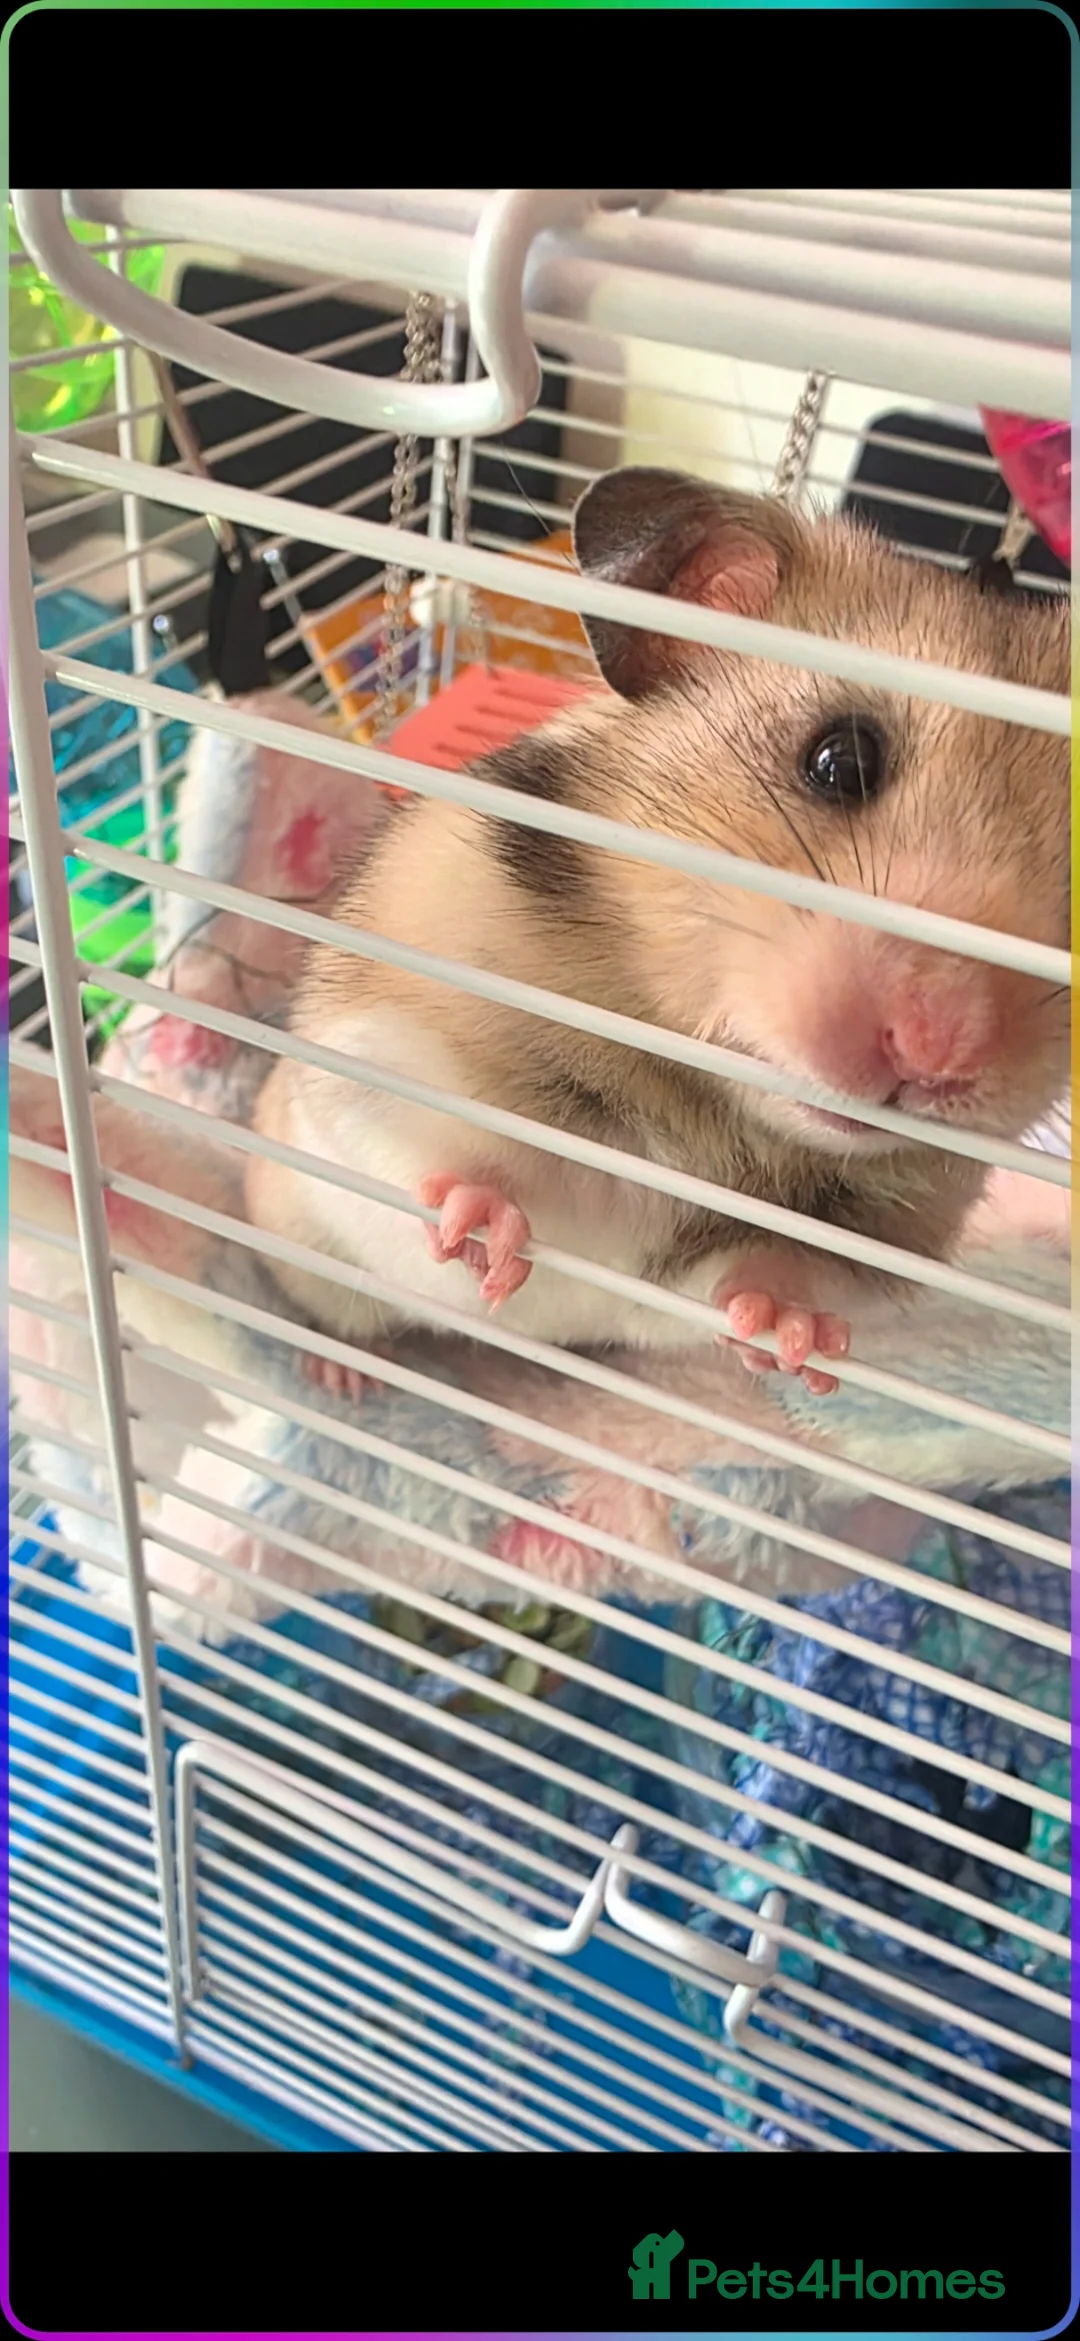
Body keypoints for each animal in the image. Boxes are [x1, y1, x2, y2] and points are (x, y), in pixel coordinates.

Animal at [245, 466, 1070, 1401]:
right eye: (839, 760)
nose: (938, 1053)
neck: (707, 1110)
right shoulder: (372, 1043)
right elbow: (442, 1148)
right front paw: (481, 1237)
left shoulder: (876, 1243)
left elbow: (772, 1273)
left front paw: (797, 1342)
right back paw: (343, 1377)